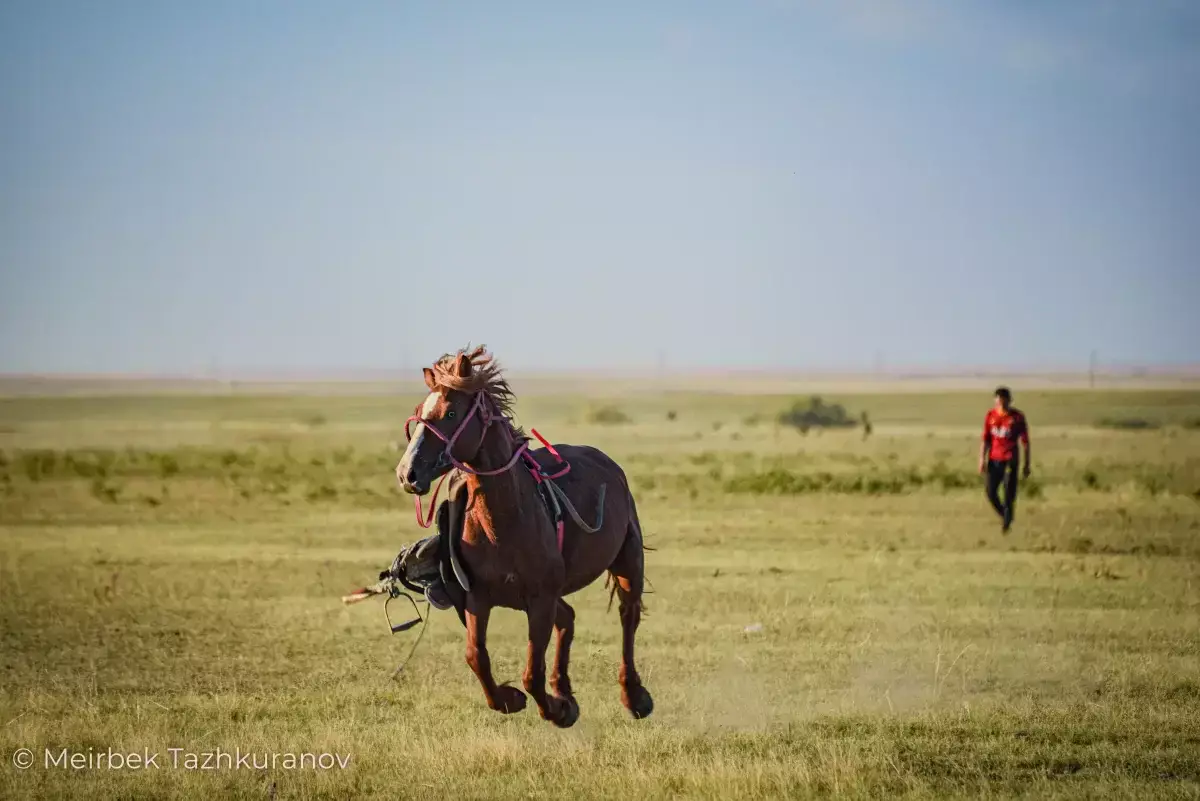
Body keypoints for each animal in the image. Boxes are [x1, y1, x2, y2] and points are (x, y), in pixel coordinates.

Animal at [393, 345, 657, 724]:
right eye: (419, 413)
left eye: (451, 412)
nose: (407, 473)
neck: (504, 522)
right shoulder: (478, 598)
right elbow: (476, 657)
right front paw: (515, 700)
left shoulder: (540, 599)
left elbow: (532, 672)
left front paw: (557, 710)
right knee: (569, 619)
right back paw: (565, 689)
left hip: (627, 563)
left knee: (628, 617)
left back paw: (633, 696)